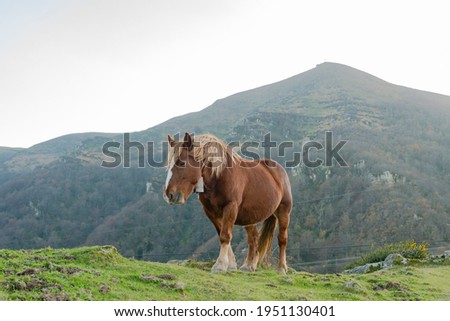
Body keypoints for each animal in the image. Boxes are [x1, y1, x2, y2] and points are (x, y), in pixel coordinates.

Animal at [163, 132, 294, 272]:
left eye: (181, 163)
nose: (169, 195)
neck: (220, 176)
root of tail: (279, 171)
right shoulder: (211, 212)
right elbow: (222, 234)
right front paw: (230, 265)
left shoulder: (230, 207)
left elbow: (225, 235)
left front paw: (220, 265)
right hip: (250, 217)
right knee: (253, 238)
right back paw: (248, 266)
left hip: (283, 211)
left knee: (282, 239)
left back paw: (281, 268)